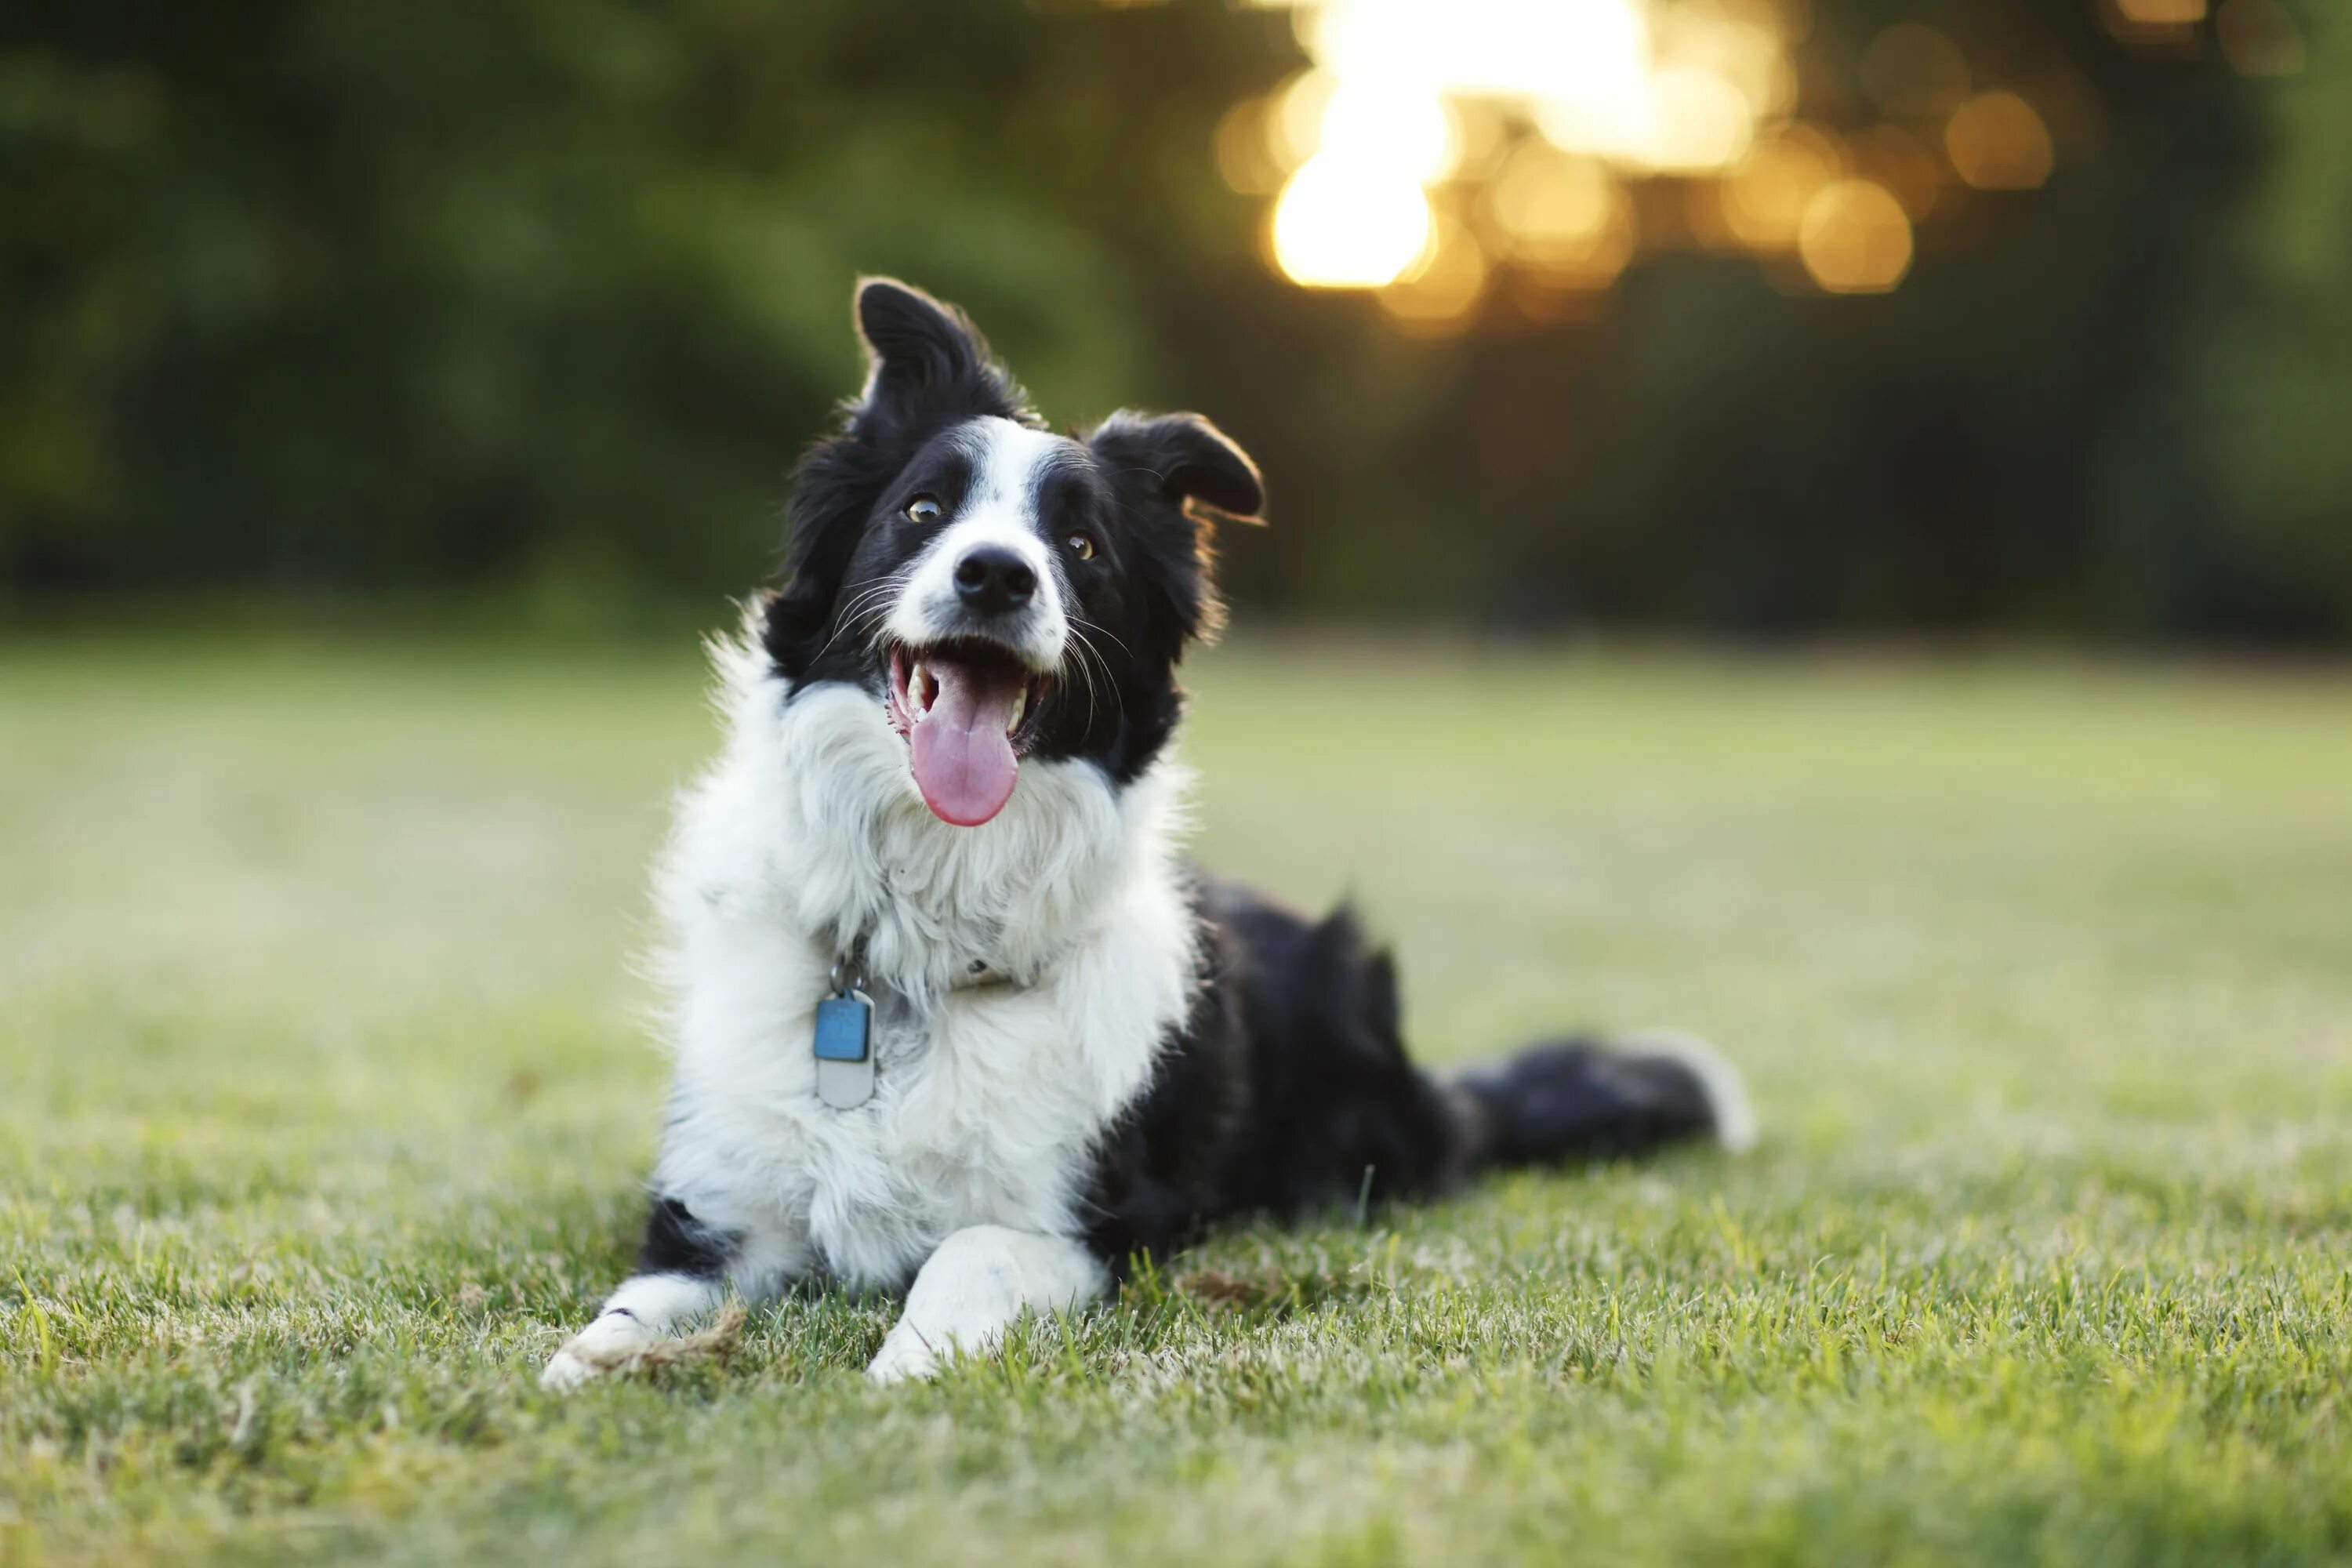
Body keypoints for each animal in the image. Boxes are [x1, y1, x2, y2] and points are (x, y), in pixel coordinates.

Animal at [541, 278, 1759, 1382]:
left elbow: (970, 1249)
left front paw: (904, 1364)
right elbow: (637, 1304)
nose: (997, 574)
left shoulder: (1105, 1225)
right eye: (923, 513)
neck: (921, 951)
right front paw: (590, 1366)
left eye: (1080, 546)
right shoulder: (715, 1209)